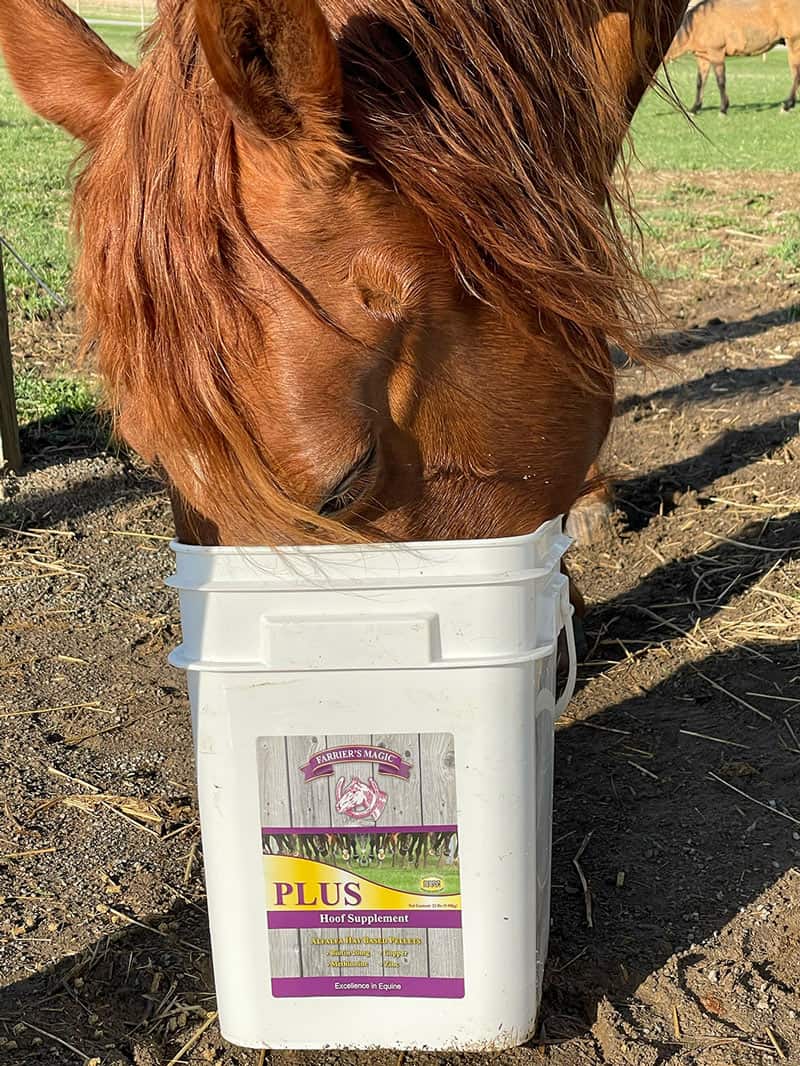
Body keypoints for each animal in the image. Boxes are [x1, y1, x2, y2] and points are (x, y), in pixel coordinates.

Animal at [667, 0, 800, 113]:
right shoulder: (703, 57)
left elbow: (720, 81)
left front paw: (723, 109)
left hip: (794, 43)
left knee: (796, 74)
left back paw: (787, 106)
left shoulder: (717, 54)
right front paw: (694, 108)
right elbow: (700, 82)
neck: (698, 24)